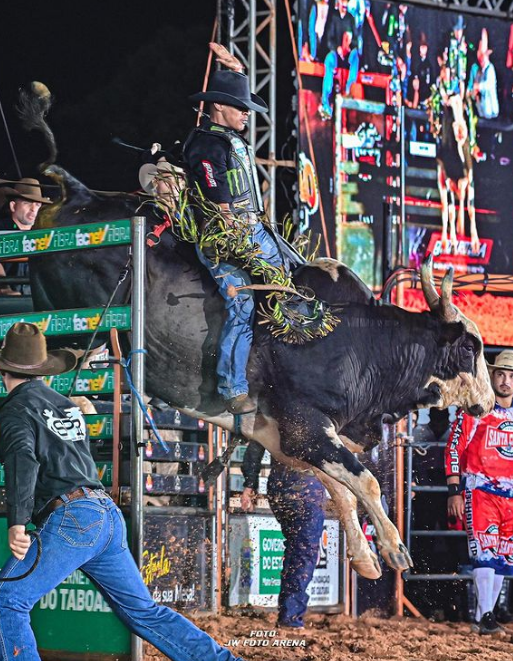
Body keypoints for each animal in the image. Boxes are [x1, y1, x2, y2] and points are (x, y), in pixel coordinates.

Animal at [28, 168, 492, 580]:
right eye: (471, 347)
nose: (488, 403)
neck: (357, 341)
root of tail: (77, 192)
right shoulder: (307, 427)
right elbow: (365, 482)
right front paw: (395, 548)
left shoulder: (290, 439)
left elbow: (341, 490)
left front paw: (365, 559)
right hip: (74, 330)